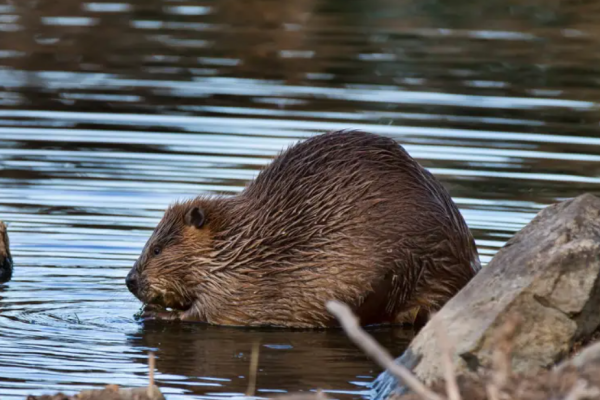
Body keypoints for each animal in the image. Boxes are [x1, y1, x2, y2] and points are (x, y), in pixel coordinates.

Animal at [126, 130, 482, 326]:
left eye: (157, 249)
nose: (130, 281)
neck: (241, 243)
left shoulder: (236, 285)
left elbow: (206, 313)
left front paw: (154, 313)